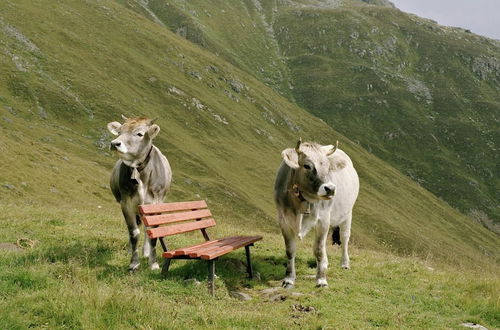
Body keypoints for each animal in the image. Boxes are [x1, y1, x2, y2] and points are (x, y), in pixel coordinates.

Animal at [274, 138, 360, 288]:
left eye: (328, 167)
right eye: (307, 166)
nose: (330, 189)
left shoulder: (323, 219)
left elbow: (319, 250)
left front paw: (321, 280)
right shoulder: (283, 220)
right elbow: (290, 250)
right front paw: (289, 279)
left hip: (347, 213)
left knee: (344, 237)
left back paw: (344, 263)